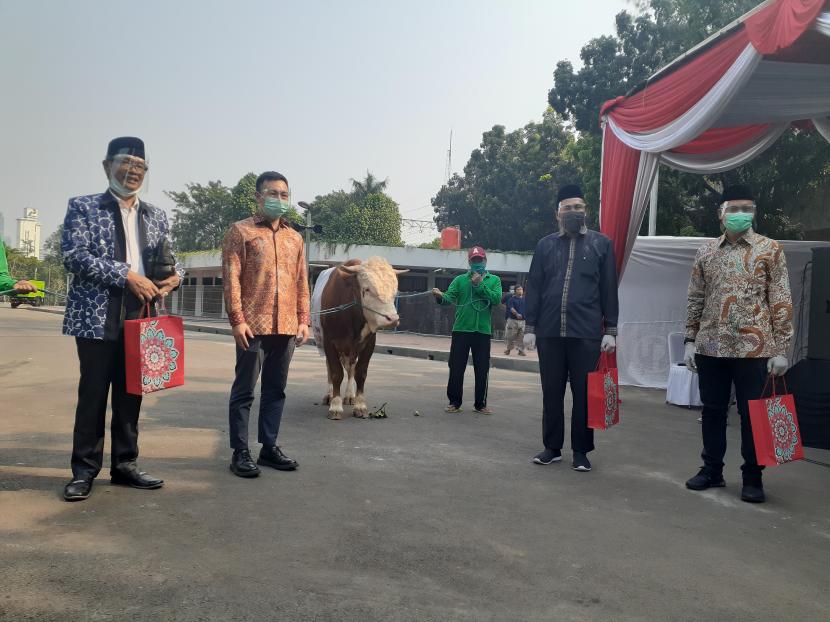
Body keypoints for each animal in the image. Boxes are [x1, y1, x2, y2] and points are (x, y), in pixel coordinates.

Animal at [320, 256, 408, 422]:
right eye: (367, 289)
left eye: (394, 291)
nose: (392, 319)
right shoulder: (329, 342)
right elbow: (336, 373)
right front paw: (335, 406)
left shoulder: (369, 343)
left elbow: (360, 373)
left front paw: (360, 405)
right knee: (330, 368)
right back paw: (329, 395)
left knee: (351, 368)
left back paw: (349, 395)